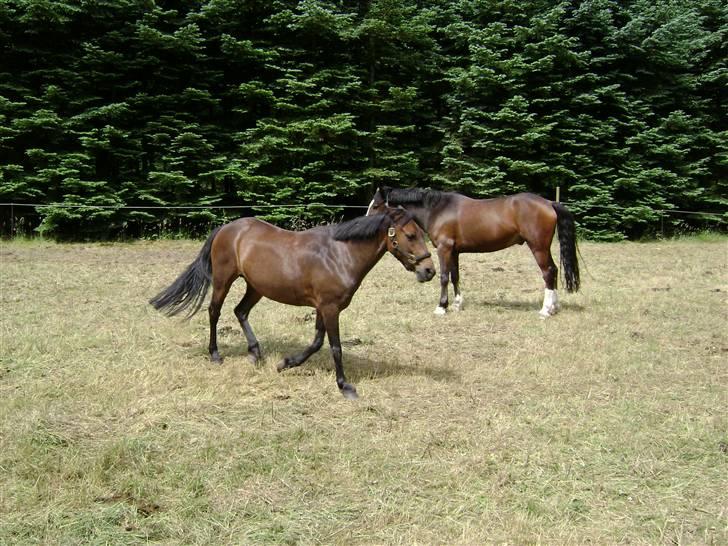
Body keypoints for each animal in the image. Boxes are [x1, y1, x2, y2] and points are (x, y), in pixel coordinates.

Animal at [148, 206, 432, 398]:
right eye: (410, 235)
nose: (428, 270)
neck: (340, 255)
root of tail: (226, 228)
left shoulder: (324, 308)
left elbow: (316, 343)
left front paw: (285, 364)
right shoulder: (330, 308)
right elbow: (335, 347)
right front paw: (345, 386)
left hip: (256, 287)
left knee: (240, 311)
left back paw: (255, 353)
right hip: (223, 280)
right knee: (214, 312)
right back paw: (216, 355)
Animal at [366, 187, 576, 316]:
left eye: (375, 205)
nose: (365, 221)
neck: (438, 209)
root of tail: (549, 203)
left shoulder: (444, 249)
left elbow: (444, 277)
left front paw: (441, 307)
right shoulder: (454, 251)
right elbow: (455, 276)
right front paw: (457, 304)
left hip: (538, 247)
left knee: (548, 272)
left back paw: (545, 310)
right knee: (554, 270)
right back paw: (554, 307)